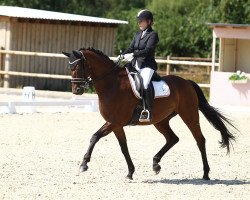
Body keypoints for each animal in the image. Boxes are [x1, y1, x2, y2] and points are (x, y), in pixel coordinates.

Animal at [62, 47, 236, 180]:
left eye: (78, 67)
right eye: (70, 68)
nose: (77, 91)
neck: (112, 85)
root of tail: (187, 82)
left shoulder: (114, 122)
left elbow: (95, 137)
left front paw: (84, 164)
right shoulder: (116, 125)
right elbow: (124, 147)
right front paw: (130, 172)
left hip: (189, 116)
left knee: (200, 140)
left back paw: (206, 173)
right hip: (160, 121)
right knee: (173, 138)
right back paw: (156, 164)